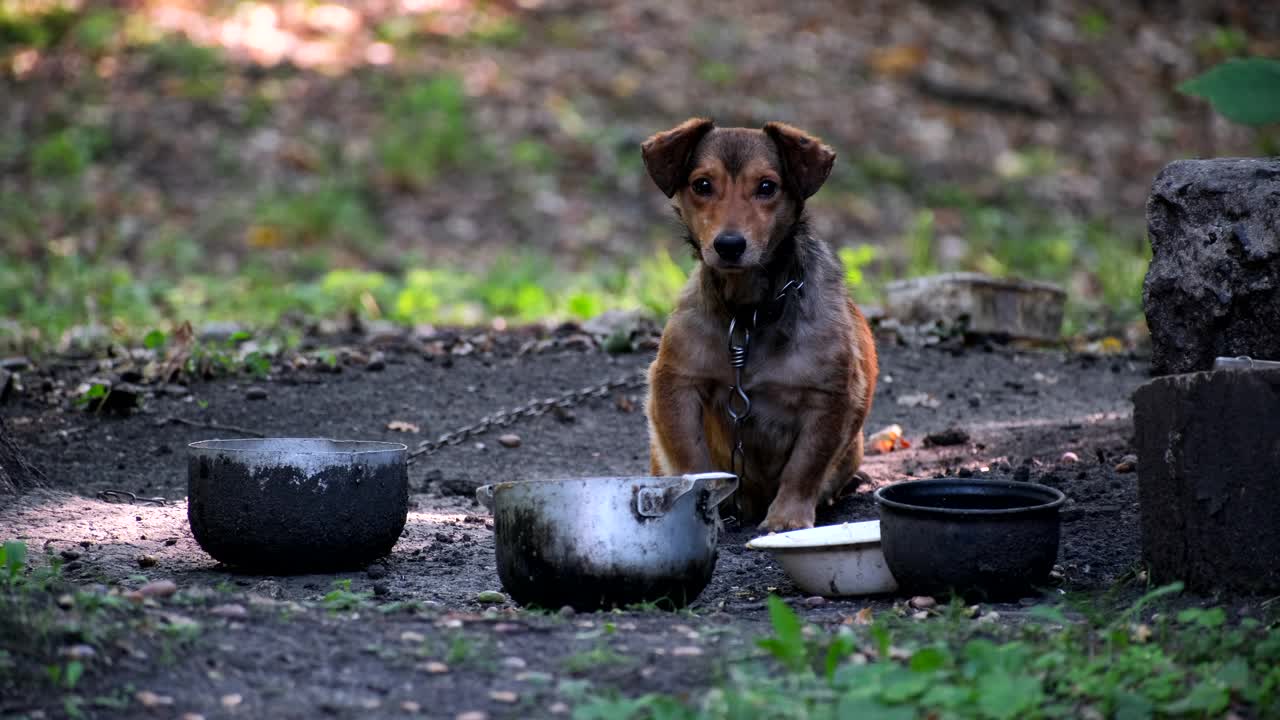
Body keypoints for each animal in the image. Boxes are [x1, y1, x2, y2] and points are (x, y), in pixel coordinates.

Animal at [645, 117, 875, 530]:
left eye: (767, 186)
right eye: (702, 185)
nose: (729, 245)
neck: (749, 313)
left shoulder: (831, 396)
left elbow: (805, 465)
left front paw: (788, 518)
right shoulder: (675, 382)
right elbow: (691, 457)